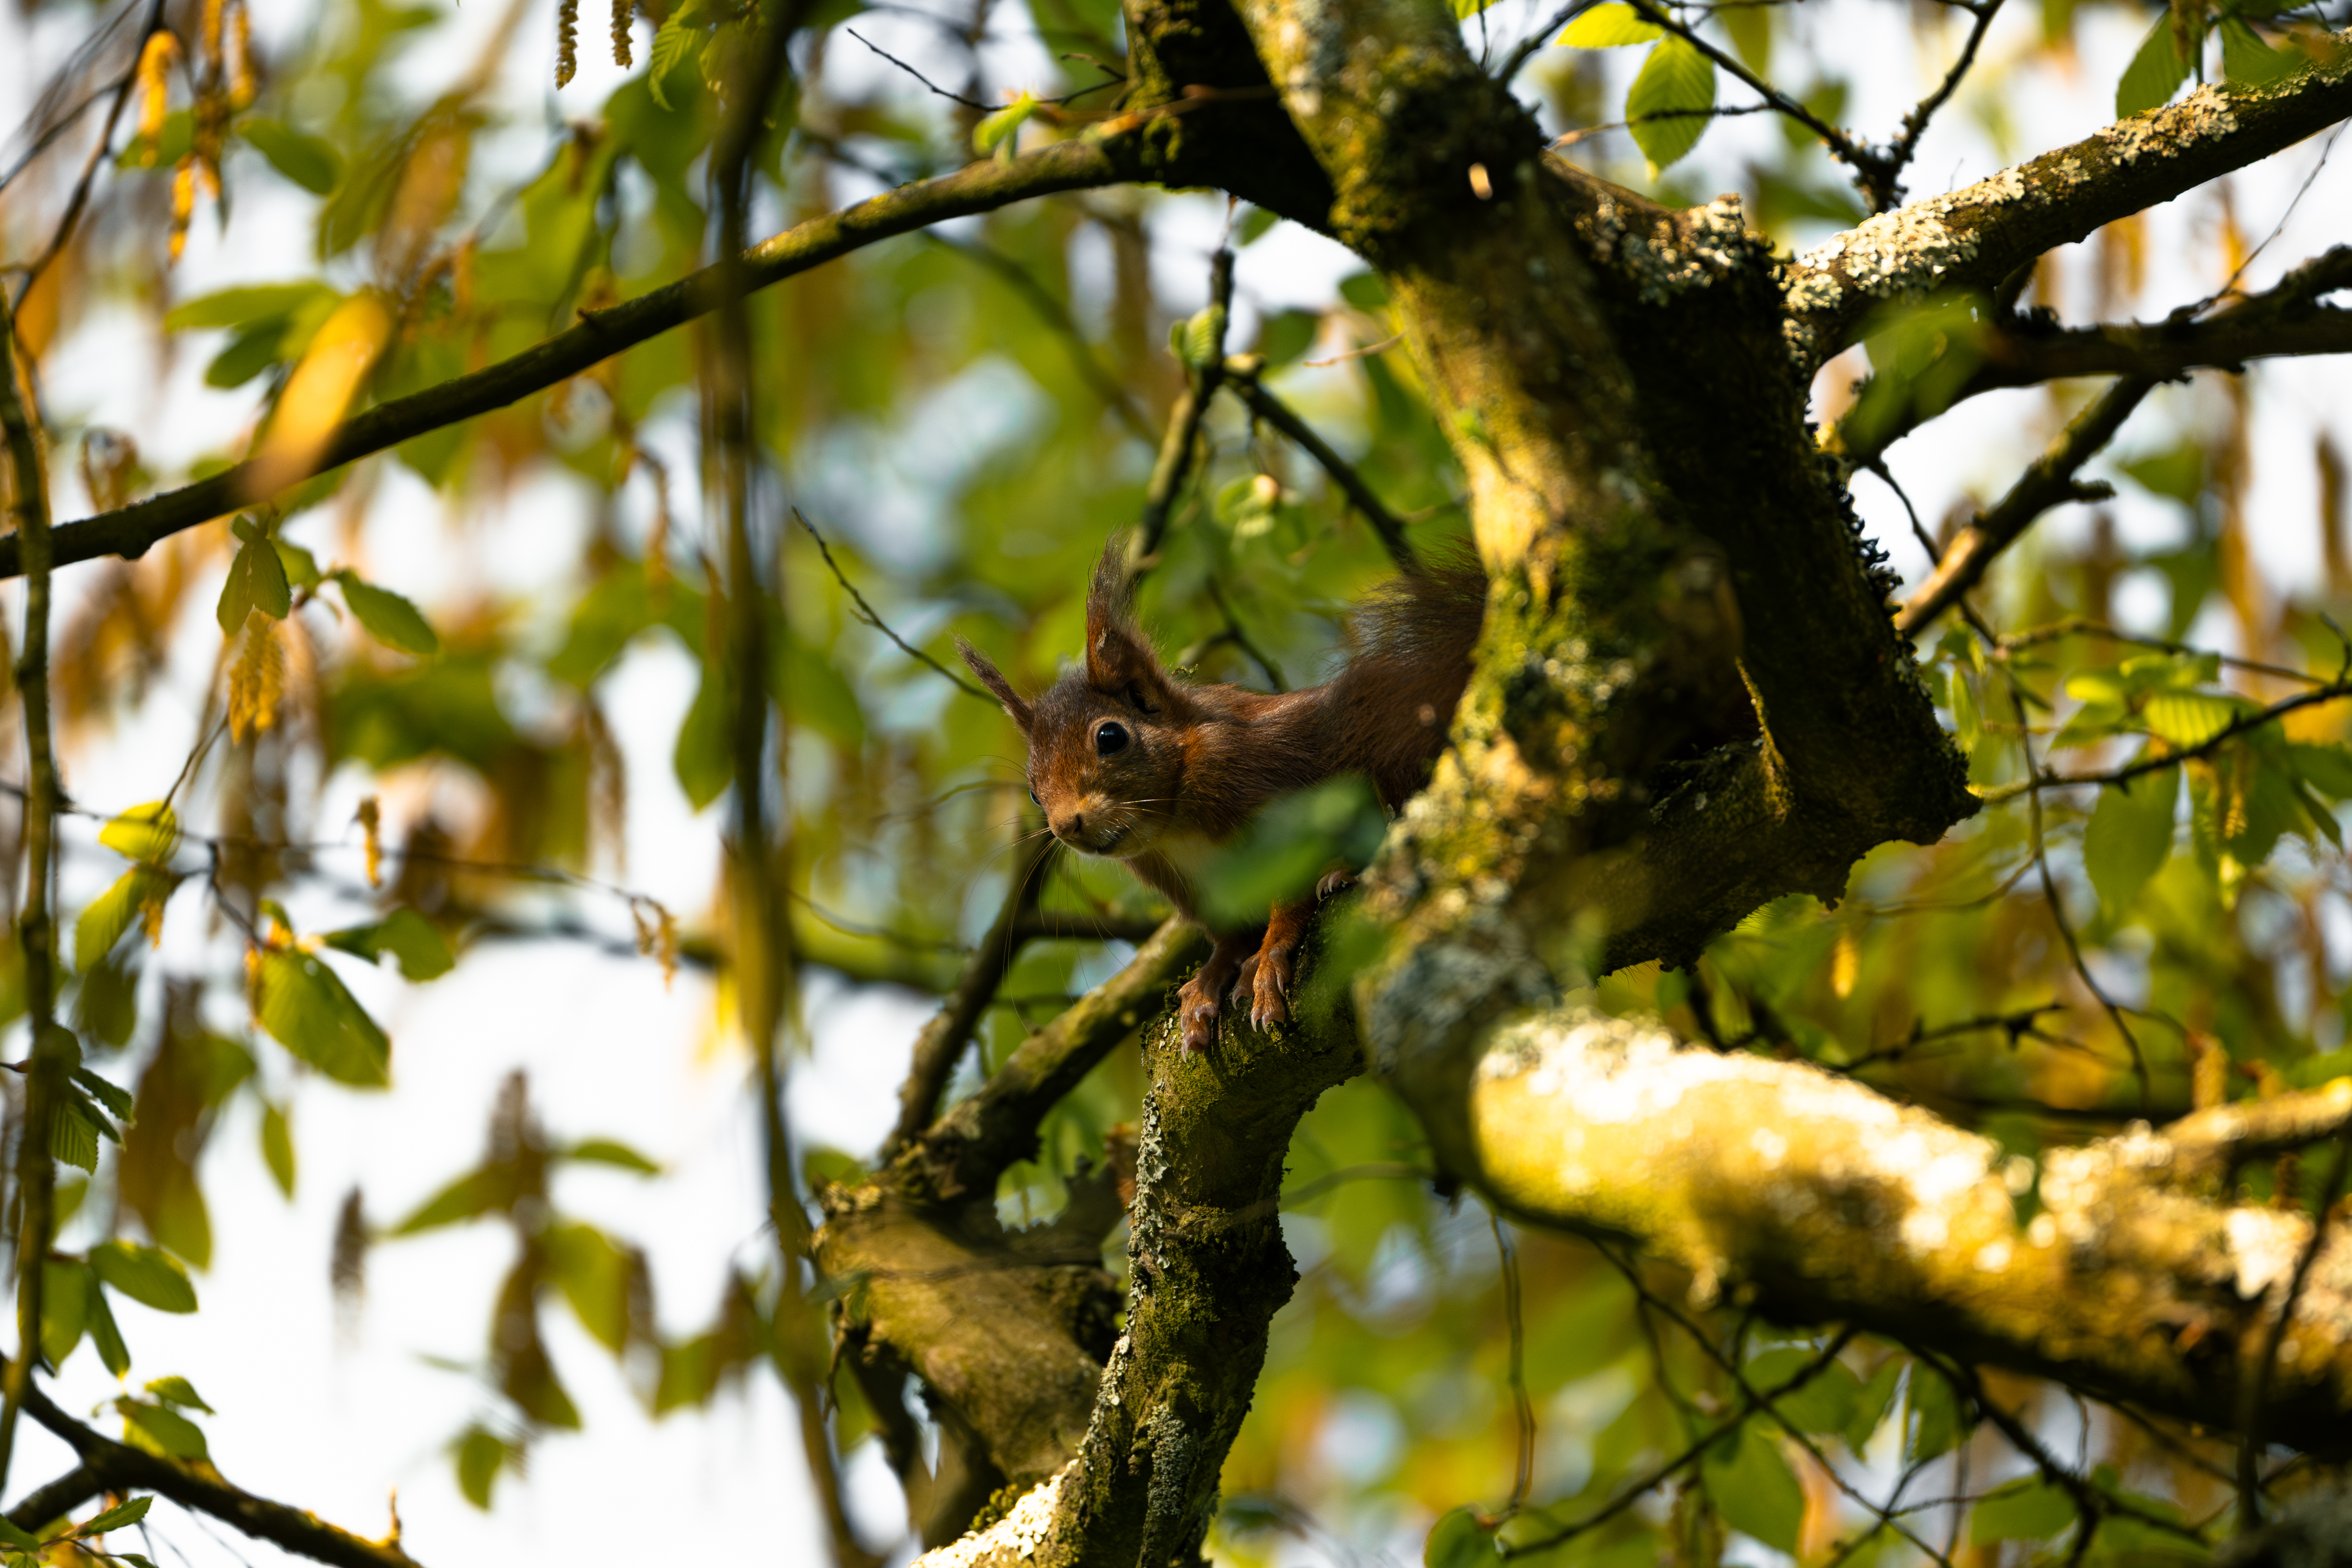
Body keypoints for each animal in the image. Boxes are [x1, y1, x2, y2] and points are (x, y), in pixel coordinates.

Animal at [958, 542, 1485, 1053]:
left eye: (1110, 737)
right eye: (1032, 791)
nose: (1067, 826)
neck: (1173, 824)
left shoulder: (1269, 799)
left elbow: (1287, 900)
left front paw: (1267, 961)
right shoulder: (1197, 889)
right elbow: (1230, 939)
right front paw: (1209, 980)